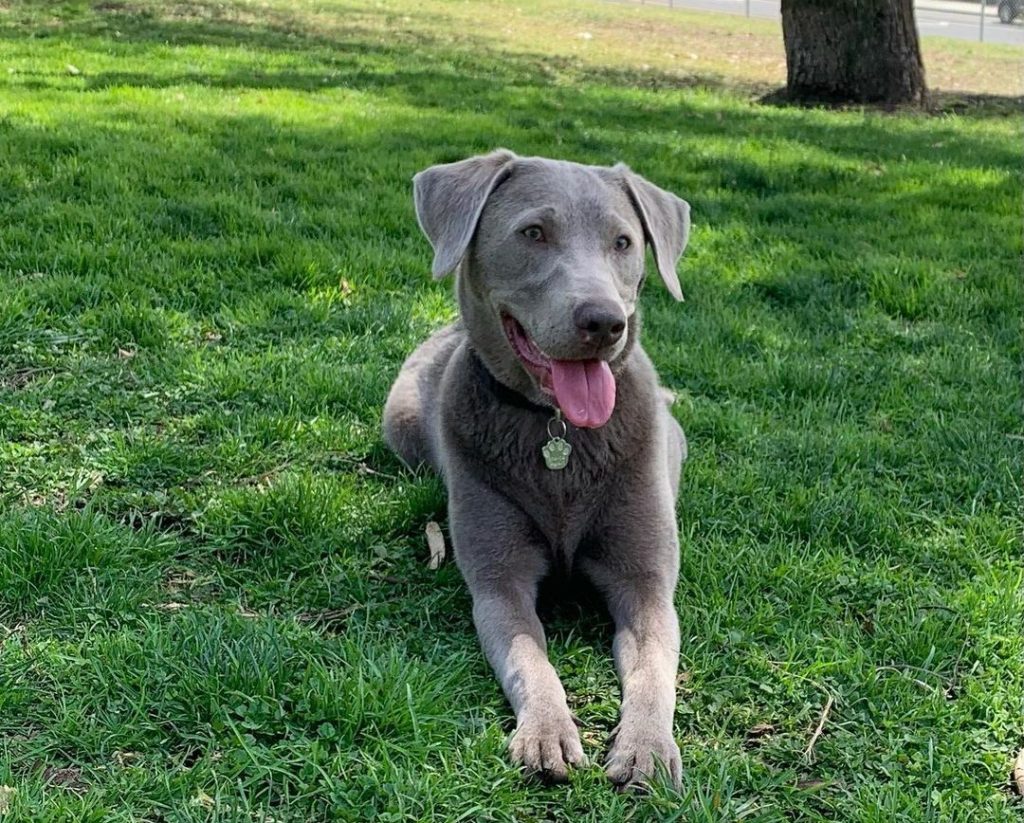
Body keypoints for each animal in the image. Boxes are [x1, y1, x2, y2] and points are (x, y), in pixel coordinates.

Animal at [387, 151, 692, 786]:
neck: (560, 433)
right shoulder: (498, 582)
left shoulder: (646, 582)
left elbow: (655, 668)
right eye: (532, 233)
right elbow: (530, 656)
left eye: (623, 242)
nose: (603, 322)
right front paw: (547, 734)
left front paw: (646, 748)